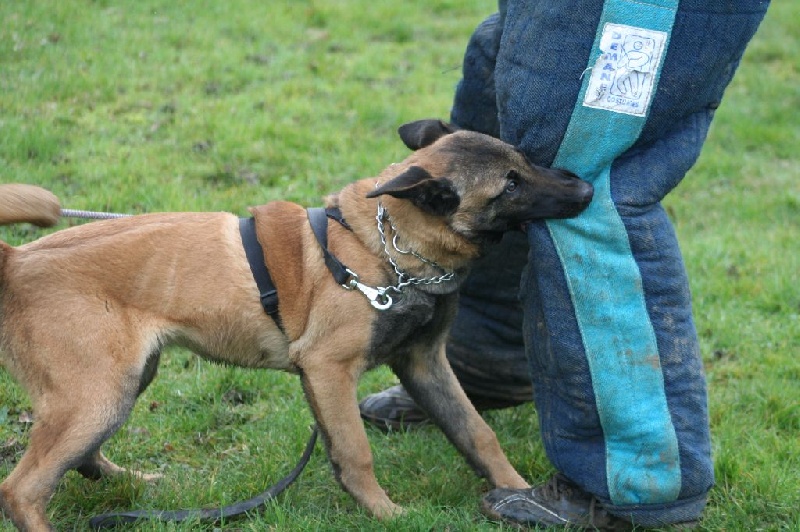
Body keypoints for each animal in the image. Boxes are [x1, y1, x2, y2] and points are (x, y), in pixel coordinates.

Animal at [0, 119, 593, 530]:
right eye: (509, 186)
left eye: (525, 162)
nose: (586, 190)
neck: (387, 249)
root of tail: (16, 259)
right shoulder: (329, 370)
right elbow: (355, 451)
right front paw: (386, 513)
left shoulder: (425, 364)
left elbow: (477, 433)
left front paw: (516, 493)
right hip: (99, 392)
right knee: (22, 489)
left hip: (123, 381)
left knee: (81, 458)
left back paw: (135, 484)